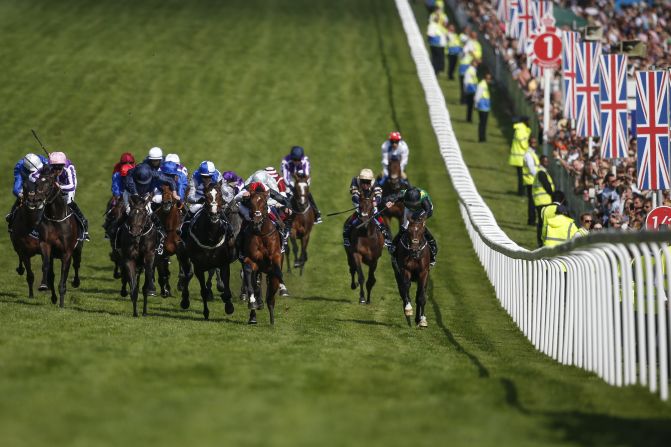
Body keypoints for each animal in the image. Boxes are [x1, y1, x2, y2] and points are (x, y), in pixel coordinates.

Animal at [31, 168, 82, 308]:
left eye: (49, 184)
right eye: (36, 183)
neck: (56, 218)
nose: (37, 199)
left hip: (78, 249)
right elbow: (46, 267)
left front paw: (62, 303)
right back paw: (53, 297)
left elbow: (64, 273)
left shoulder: (67, 252)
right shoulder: (45, 245)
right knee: (52, 274)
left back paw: (76, 282)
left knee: (76, 264)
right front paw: (44, 286)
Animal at [181, 183, 236, 322]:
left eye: (220, 195)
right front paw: (206, 313)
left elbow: (226, 290)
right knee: (187, 274)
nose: (214, 214)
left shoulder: (224, 263)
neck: (211, 238)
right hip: (184, 257)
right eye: (206, 196)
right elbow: (203, 291)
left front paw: (229, 306)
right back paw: (184, 300)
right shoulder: (199, 267)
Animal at [239, 189, 284, 326]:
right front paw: (253, 302)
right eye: (250, 204)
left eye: (264, 204)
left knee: (270, 295)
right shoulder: (251, 260)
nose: (256, 222)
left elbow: (277, 272)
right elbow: (250, 276)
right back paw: (254, 314)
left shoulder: (275, 257)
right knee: (255, 282)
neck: (261, 233)